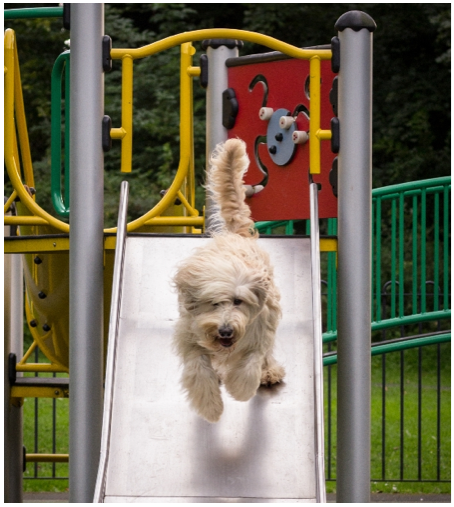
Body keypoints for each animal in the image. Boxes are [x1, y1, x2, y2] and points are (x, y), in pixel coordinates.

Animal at [174, 139, 284, 424]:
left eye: (238, 301)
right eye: (213, 303)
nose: (225, 331)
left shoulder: (259, 331)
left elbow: (250, 363)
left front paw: (241, 388)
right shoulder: (191, 336)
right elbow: (199, 369)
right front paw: (210, 406)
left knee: (266, 355)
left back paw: (268, 373)